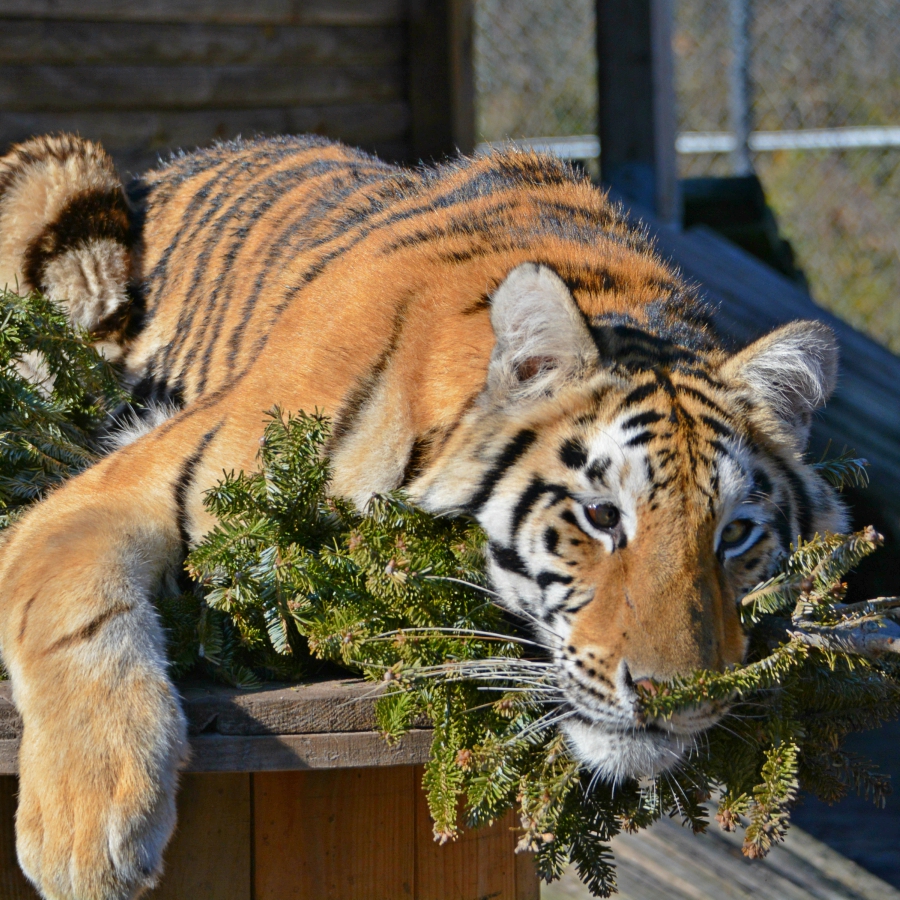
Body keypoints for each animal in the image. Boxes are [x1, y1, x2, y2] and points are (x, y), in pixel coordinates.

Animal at [0, 133, 845, 900]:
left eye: (735, 535)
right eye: (603, 516)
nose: (676, 700)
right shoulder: (113, 492)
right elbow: (78, 617)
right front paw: (89, 834)